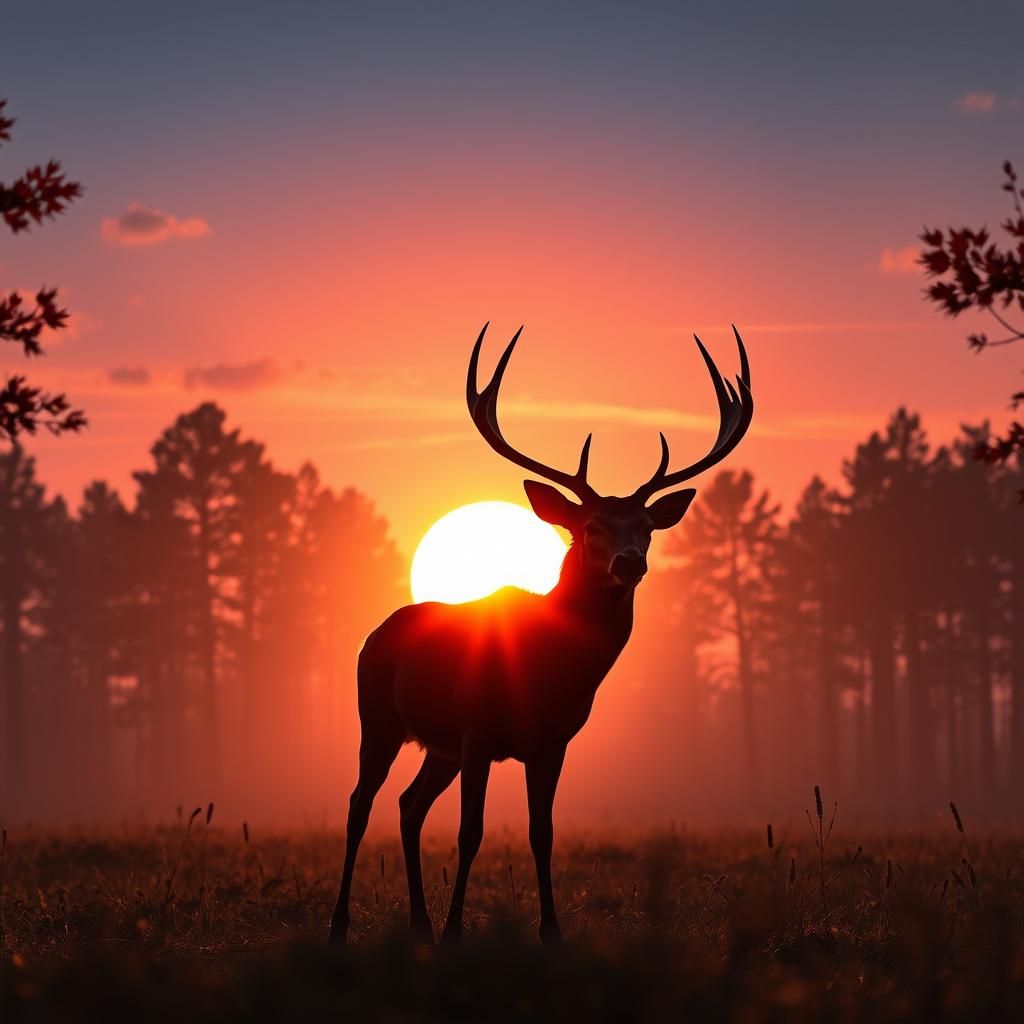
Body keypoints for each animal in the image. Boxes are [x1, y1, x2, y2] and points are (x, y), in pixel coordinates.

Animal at [328, 323, 753, 947]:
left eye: (647, 528)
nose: (629, 562)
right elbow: (471, 832)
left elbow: (542, 833)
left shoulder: (553, 742)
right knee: (361, 803)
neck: (550, 671)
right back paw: (342, 925)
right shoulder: (478, 729)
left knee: (408, 805)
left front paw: (551, 932)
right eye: (591, 526)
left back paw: (420, 926)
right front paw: (457, 933)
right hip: (378, 717)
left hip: (439, 745)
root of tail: (375, 633)